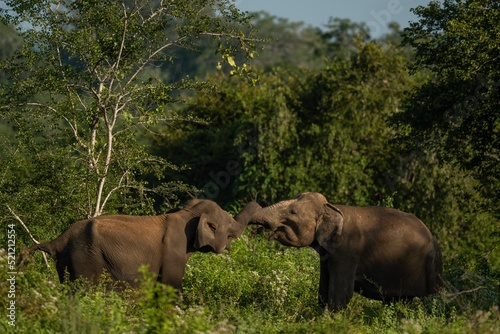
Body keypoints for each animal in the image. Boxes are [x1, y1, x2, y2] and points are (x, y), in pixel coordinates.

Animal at [24, 198, 252, 290]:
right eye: (229, 222)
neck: (187, 213)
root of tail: (58, 240)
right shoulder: (173, 251)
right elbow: (170, 286)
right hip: (84, 260)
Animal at [252, 192, 444, 312]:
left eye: (293, 212)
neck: (331, 207)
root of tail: (433, 238)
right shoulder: (328, 256)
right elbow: (324, 289)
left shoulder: (347, 251)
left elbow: (340, 294)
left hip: (432, 266)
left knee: (433, 300)